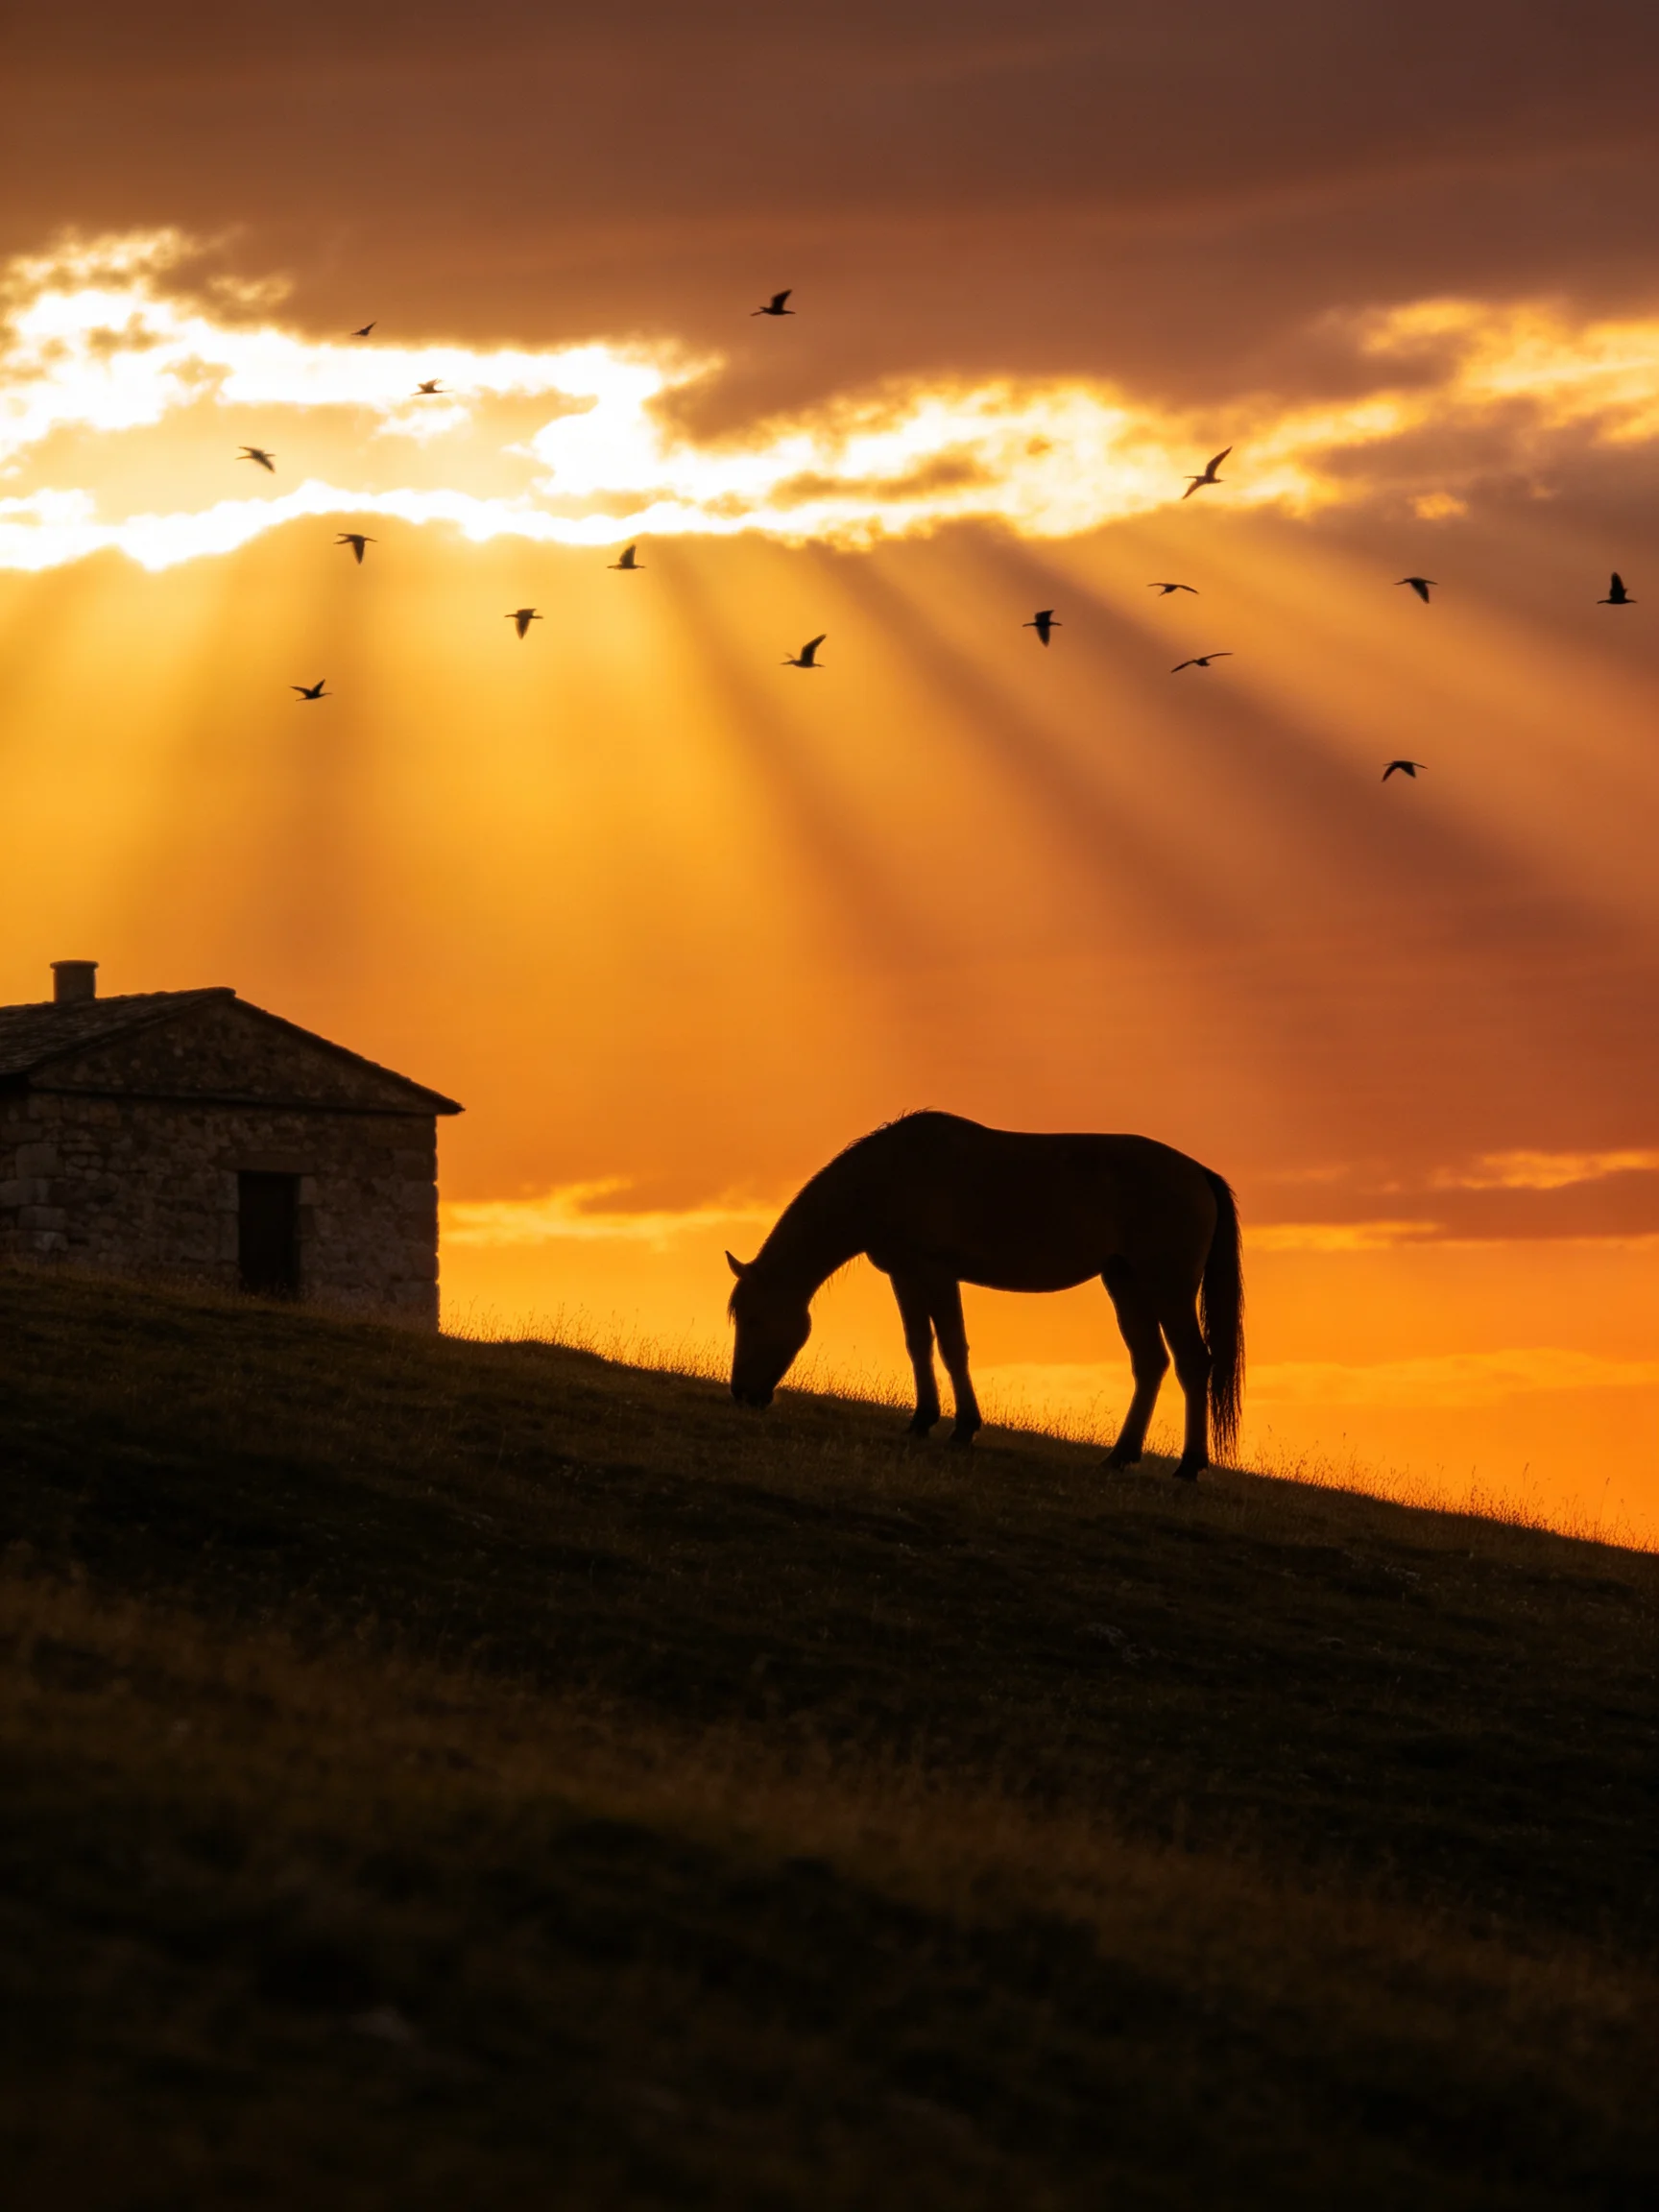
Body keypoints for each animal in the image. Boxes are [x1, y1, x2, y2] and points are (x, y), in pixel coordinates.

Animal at [726, 1111, 1243, 1479]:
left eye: (754, 1319)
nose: (742, 1395)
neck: (892, 1175)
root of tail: (1198, 1173)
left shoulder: (937, 1274)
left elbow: (953, 1348)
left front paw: (963, 1428)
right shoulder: (905, 1276)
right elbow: (919, 1345)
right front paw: (922, 1420)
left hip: (1169, 1288)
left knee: (1193, 1363)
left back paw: (1189, 1466)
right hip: (1125, 1283)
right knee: (1150, 1363)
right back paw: (1119, 1456)